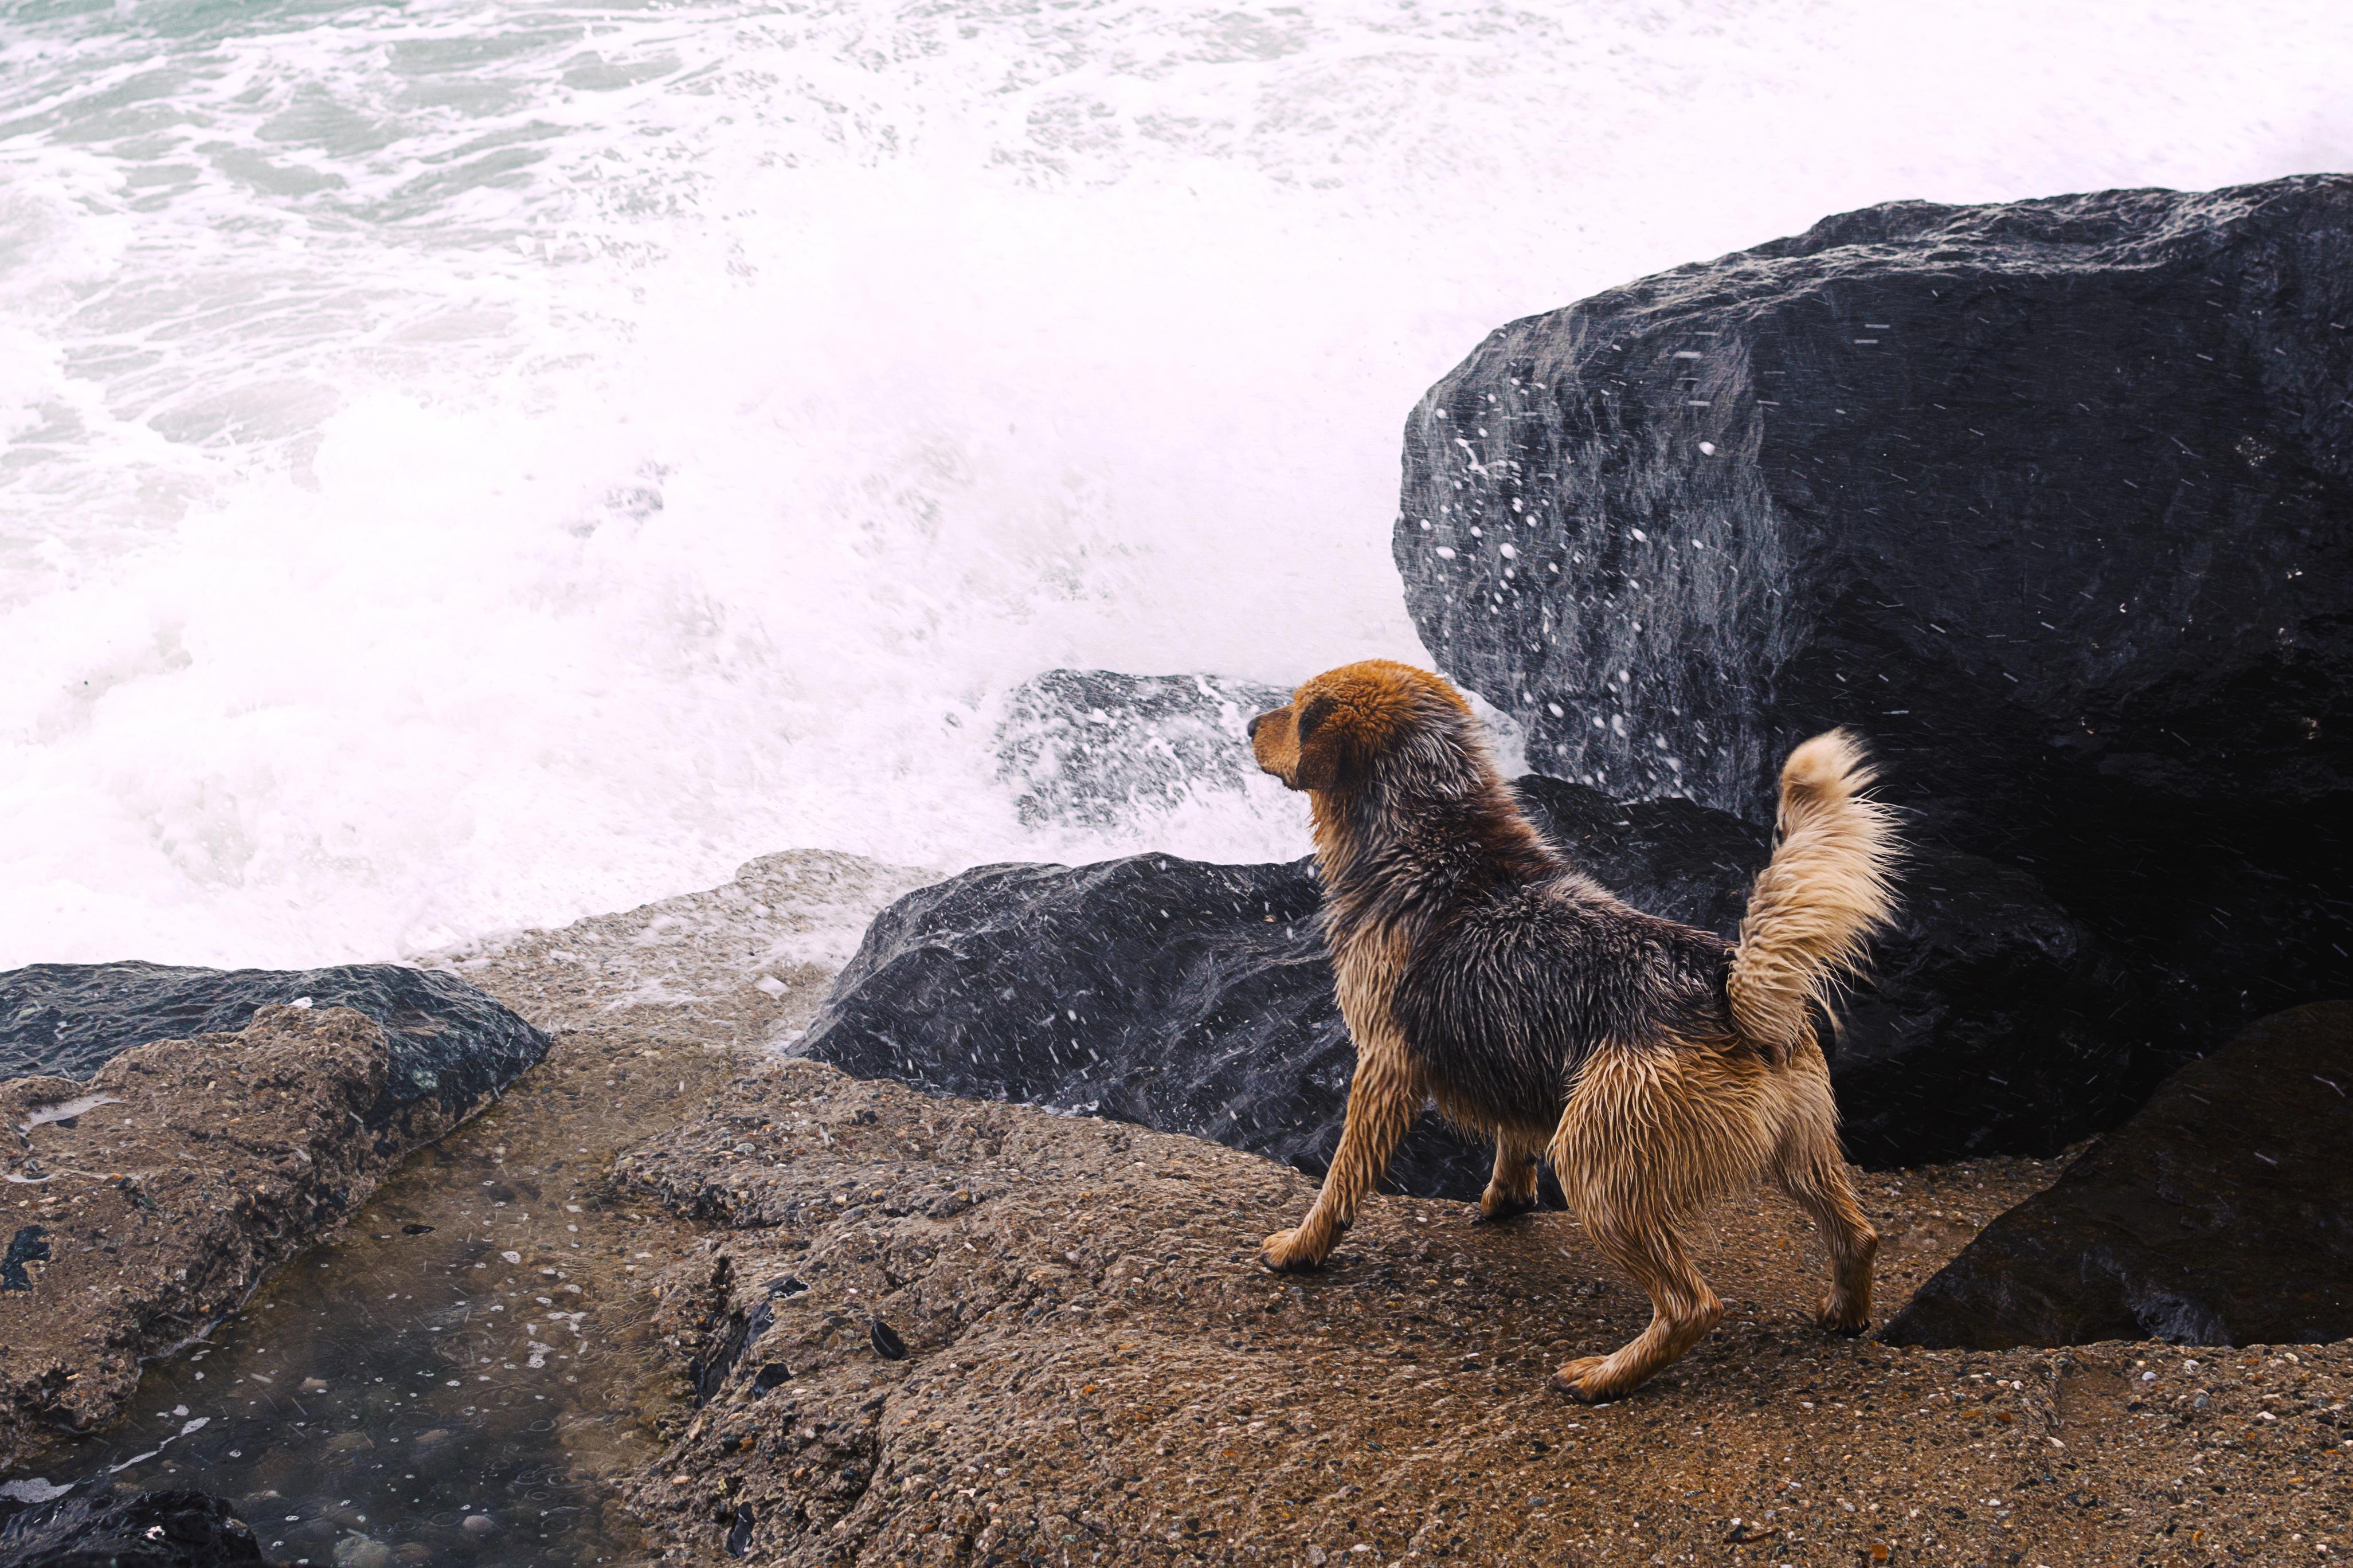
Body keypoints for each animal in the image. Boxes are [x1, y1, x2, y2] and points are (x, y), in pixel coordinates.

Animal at [1251, 658, 1892, 1401]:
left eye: (1297, 710)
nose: (1247, 724)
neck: (1431, 831)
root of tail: (1728, 991)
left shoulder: (1384, 1064)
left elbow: (1341, 1178)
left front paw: (1303, 1248)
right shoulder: (1511, 1050)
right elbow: (1512, 1138)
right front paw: (1505, 1200)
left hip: (1597, 1160)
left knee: (1692, 1305)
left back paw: (1606, 1376)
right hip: (1802, 1145)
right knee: (1856, 1235)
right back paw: (1844, 1315)